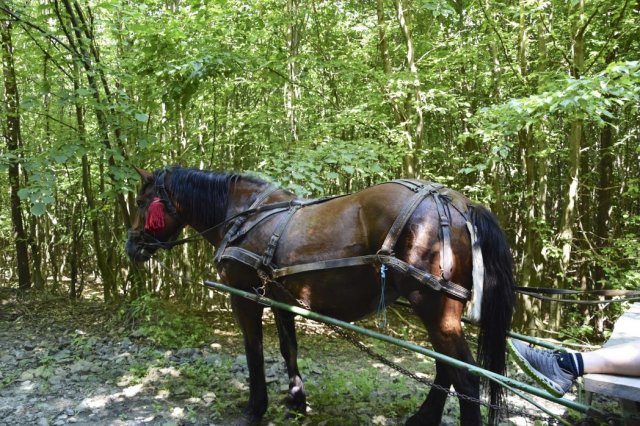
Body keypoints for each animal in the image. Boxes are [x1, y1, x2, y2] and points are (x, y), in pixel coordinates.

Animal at [126, 165, 516, 424]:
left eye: (143, 201)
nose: (131, 247)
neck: (242, 216)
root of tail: (459, 205)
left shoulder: (244, 295)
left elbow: (254, 351)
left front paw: (255, 407)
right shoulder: (279, 297)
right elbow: (289, 348)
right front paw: (296, 401)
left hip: (434, 308)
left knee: (466, 378)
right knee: (446, 369)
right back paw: (423, 418)